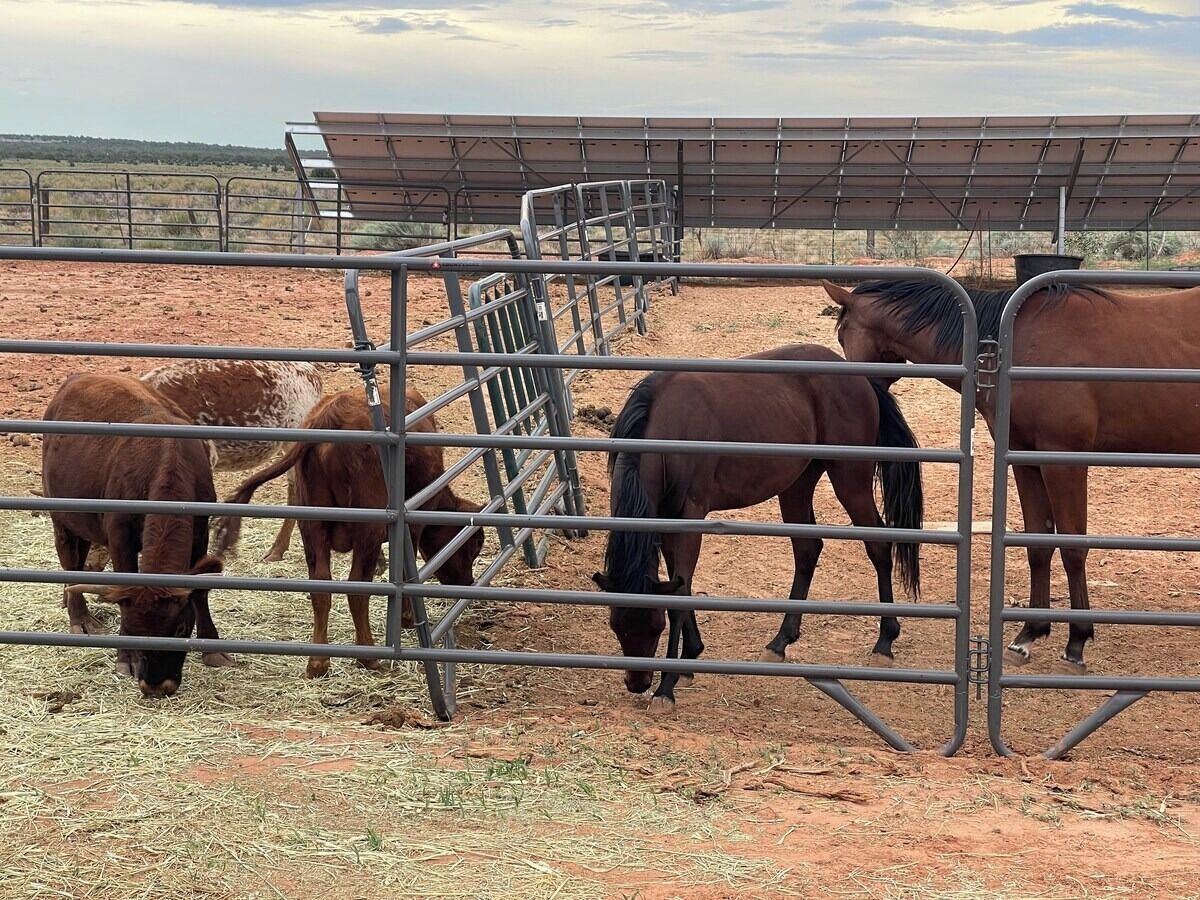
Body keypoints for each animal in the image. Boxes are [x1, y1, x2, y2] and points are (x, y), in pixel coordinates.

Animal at [591, 343, 924, 713]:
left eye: (654, 627)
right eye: (616, 626)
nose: (637, 683)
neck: (667, 427)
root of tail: (859, 377)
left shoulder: (691, 515)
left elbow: (678, 593)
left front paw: (667, 687)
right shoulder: (664, 520)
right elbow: (682, 585)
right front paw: (690, 658)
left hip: (851, 481)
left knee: (878, 546)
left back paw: (884, 642)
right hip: (797, 484)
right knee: (807, 551)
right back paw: (780, 642)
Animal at [823, 277, 1200, 672]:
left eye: (843, 334)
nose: (853, 390)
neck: (1012, 347)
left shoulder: (1063, 461)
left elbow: (1072, 548)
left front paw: (1077, 641)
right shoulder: (1025, 460)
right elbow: (1038, 545)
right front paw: (1029, 634)